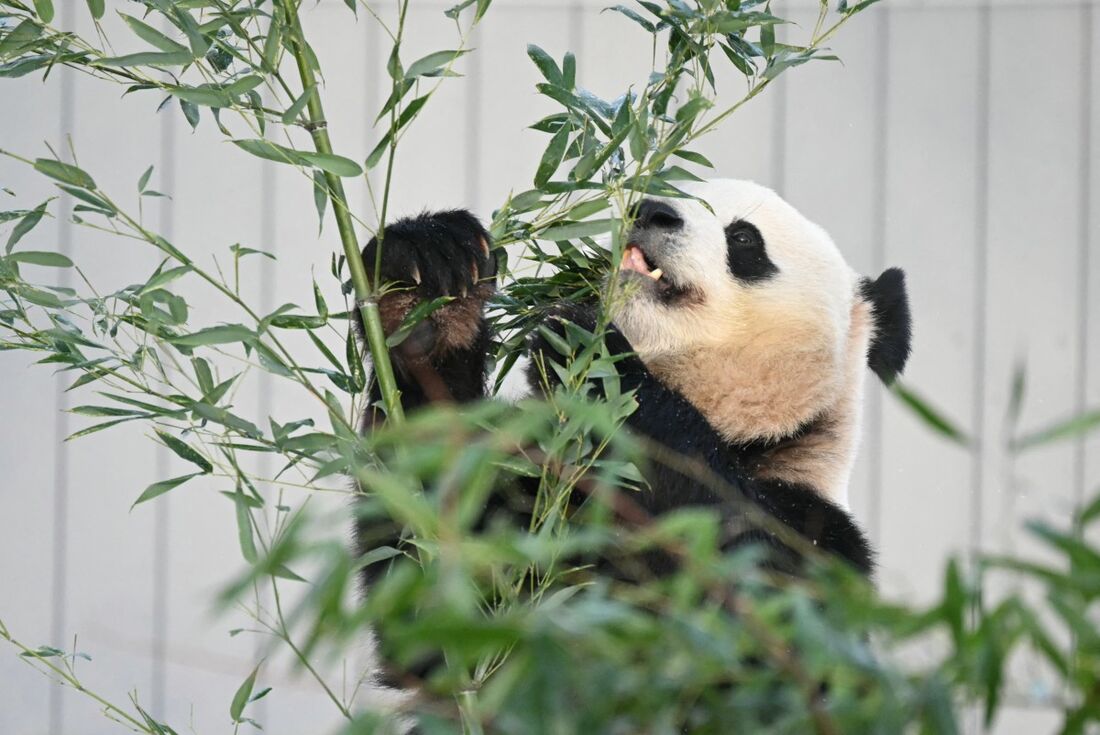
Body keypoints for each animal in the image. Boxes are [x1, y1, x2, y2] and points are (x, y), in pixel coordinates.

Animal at [352, 178, 910, 712]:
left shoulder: (821, 546)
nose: (651, 211)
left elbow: (749, 606)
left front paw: (591, 352)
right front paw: (427, 281)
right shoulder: (530, 480)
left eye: (744, 238)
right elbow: (428, 607)